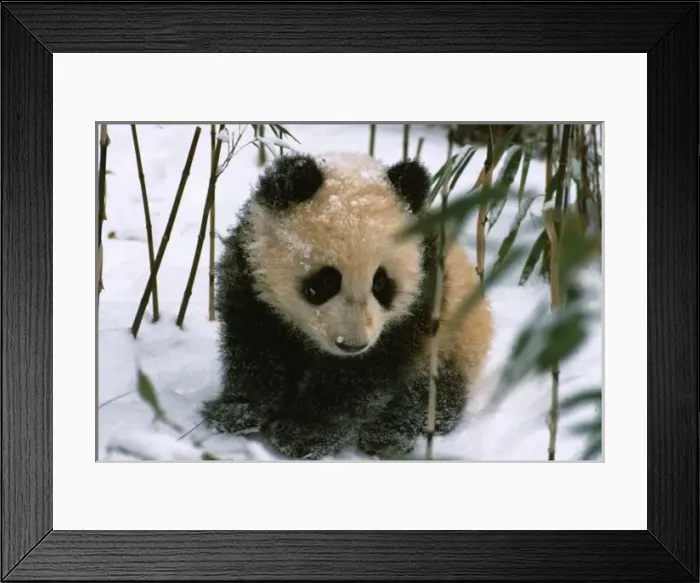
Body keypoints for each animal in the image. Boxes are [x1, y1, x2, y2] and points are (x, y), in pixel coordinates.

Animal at [201, 150, 494, 460]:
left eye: (381, 283)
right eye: (326, 281)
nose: (352, 345)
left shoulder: (418, 303)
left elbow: (362, 376)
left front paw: (307, 433)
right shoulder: (253, 281)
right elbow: (256, 347)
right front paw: (240, 410)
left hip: (455, 338)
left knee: (433, 393)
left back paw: (390, 432)